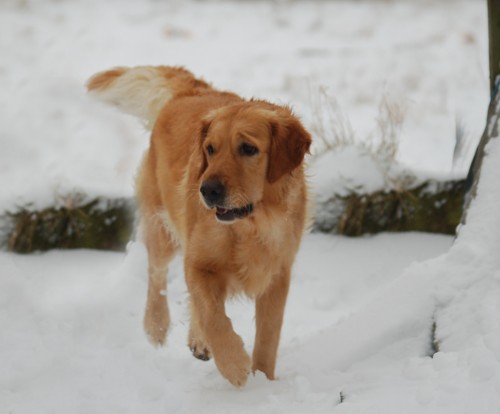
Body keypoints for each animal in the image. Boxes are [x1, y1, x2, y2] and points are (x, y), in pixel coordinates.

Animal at [86, 66, 311, 387]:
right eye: (211, 149)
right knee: (156, 275)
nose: (207, 190)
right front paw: (234, 365)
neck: (251, 226)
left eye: (248, 148)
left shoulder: (277, 274)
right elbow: (212, 316)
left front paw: (264, 380)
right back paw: (156, 325)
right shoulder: (198, 261)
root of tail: (190, 91)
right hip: (162, 226)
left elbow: (268, 336)